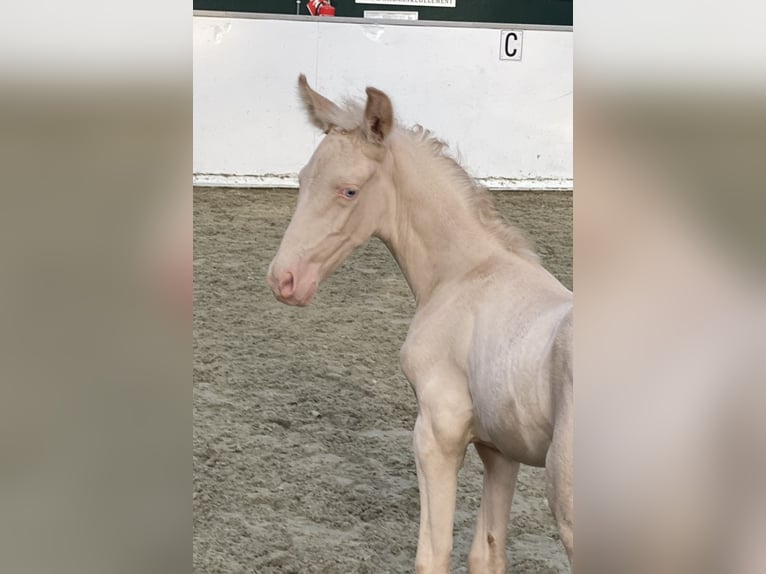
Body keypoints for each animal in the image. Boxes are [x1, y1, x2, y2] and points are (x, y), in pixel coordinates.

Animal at [268, 76, 572, 574]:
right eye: (301, 179)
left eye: (349, 191)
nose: (284, 279)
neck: (466, 274)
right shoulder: (499, 451)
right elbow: (486, 552)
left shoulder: (437, 433)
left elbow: (432, 554)